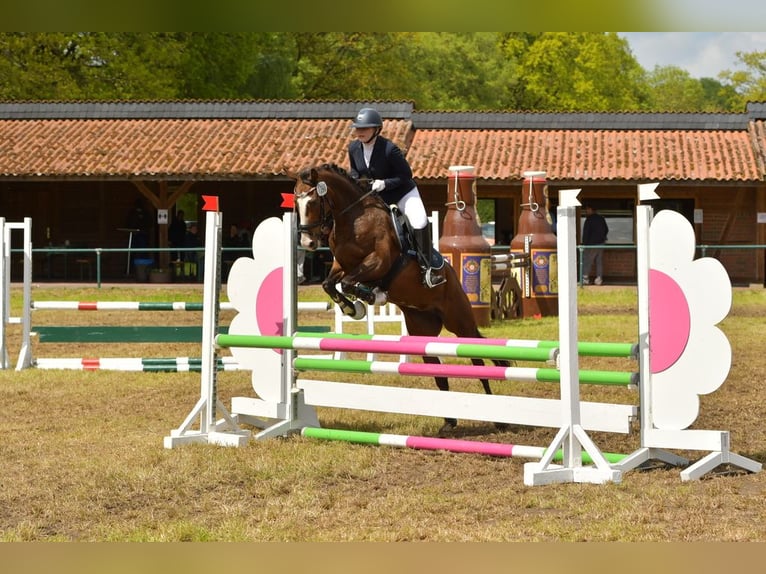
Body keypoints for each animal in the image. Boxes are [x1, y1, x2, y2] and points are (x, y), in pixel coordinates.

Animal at [292, 164, 508, 434]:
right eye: (295, 203)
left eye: (312, 201)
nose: (307, 242)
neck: (354, 219)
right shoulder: (341, 266)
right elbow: (330, 284)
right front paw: (352, 308)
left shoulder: (378, 261)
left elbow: (351, 283)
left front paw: (369, 297)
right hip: (422, 332)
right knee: (439, 372)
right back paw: (449, 422)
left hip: (460, 323)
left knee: (478, 362)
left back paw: (497, 418)